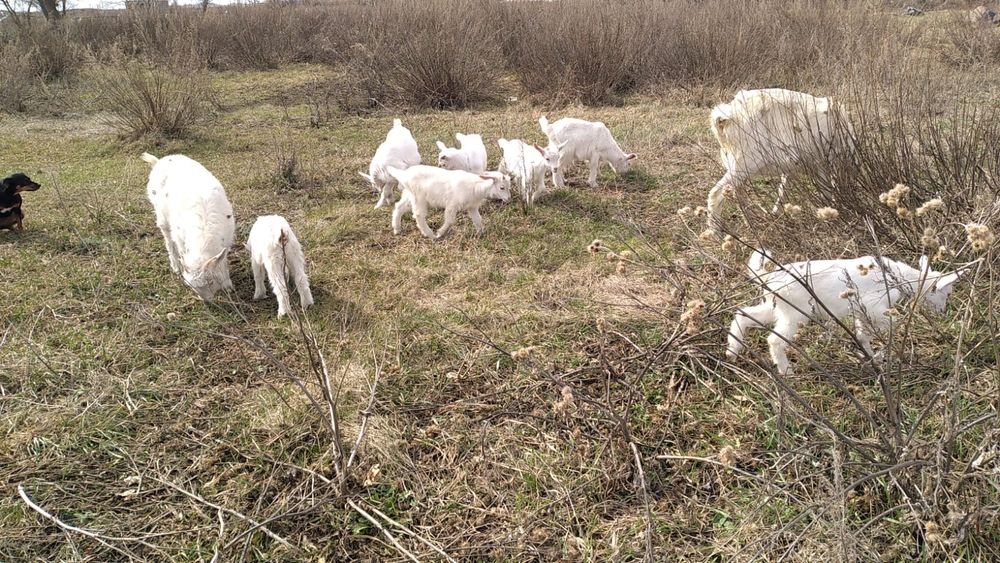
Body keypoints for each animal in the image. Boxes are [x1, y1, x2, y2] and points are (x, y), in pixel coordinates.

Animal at [142, 152, 235, 302]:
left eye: (211, 281)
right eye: (191, 286)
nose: (207, 301)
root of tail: (159, 161)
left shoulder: (227, 240)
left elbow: (224, 261)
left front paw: (228, 285)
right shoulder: (181, 239)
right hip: (162, 217)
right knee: (168, 241)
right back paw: (175, 267)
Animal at [727, 249, 964, 374]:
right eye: (947, 293)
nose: (943, 311)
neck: (897, 278)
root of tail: (769, 278)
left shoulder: (861, 312)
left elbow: (862, 335)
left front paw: (871, 357)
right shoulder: (875, 308)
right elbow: (890, 326)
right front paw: (880, 354)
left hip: (775, 308)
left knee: (742, 315)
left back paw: (732, 351)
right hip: (796, 314)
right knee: (774, 340)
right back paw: (786, 372)